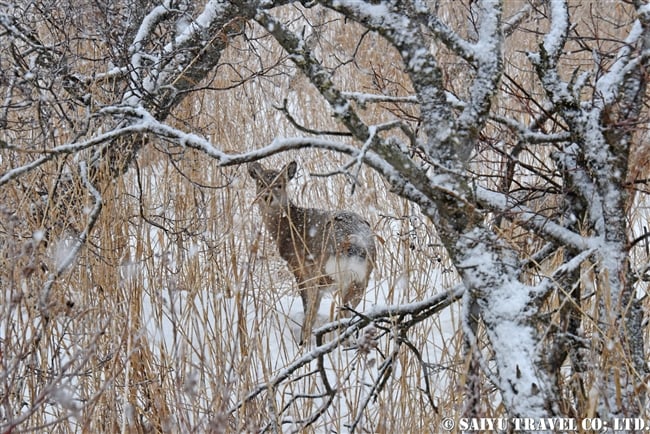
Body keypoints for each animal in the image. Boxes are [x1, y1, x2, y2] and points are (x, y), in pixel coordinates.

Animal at [251, 161, 378, 344]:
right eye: (261, 184)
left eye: (279, 185)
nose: (267, 196)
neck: (287, 229)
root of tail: (353, 245)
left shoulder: (299, 267)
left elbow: (309, 305)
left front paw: (303, 341)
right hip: (362, 278)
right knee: (346, 315)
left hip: (324, 271)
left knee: (328, 312)